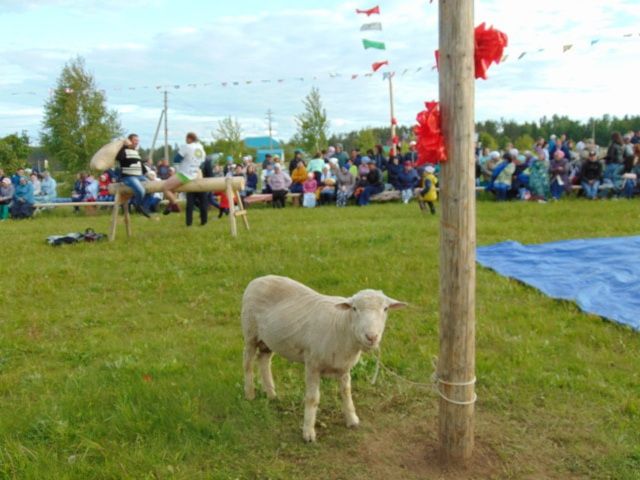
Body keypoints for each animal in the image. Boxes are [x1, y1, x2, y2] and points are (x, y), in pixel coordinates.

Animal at [240, 274, 404, 442]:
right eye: (354, 308)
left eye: (385, 309)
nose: (371, 337)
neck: (343, 325)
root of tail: (259, 278)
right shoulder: (312, 364)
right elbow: (312, 398)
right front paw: (308, 432)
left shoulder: (344, 367)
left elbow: (346, 392)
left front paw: (352, 419)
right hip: (250, 332)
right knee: (247, 363)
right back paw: (250, 394)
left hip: (268, 340)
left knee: (264, 360)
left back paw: (271, 394)